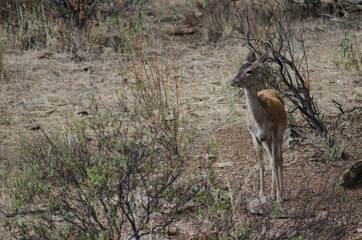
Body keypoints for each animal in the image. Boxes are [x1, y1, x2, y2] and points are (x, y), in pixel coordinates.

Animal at [230, 49, 288, 203]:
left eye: (249, 71)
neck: (260, 121)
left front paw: (280, 197)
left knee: (279, 160)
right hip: (266, 141)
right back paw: (273, 193)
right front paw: (262, 195)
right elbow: (261, 164)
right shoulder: (254, 136)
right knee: (271, 159)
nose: (233, 81)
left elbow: (275, 163)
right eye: (237, 69)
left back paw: (281, 193)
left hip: (280, 136)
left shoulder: (274, 133)